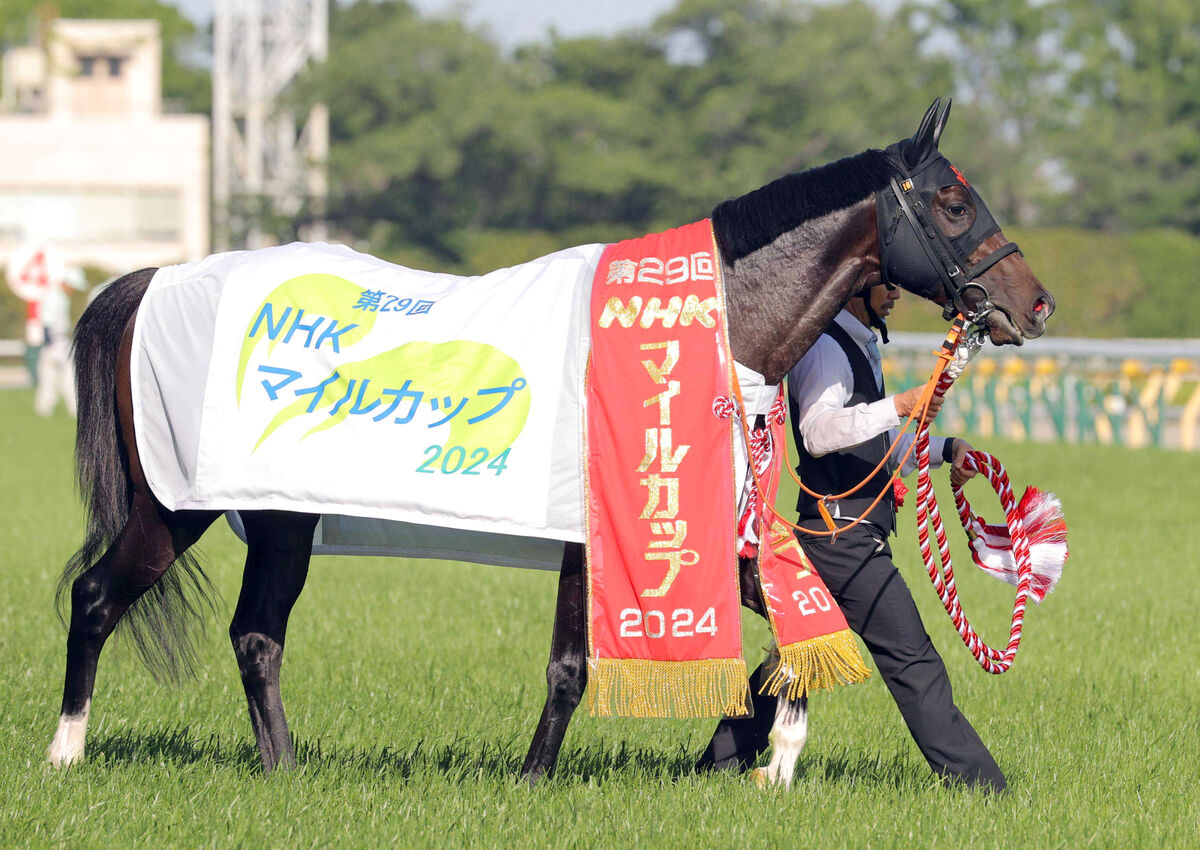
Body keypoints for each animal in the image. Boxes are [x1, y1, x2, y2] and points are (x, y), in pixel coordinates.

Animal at [51, 99, 1056, 782]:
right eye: (954, 204)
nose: (1034, 303)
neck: (694, 328)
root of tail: (153, 281)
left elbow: (802, 623)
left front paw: (778, 749)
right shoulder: (594, 536)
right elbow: (571, 667)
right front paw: (534, 780)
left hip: (281, 518)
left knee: (255, 635)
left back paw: (285, 770)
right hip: (176, 503)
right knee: (99, 596)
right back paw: (66, 754)